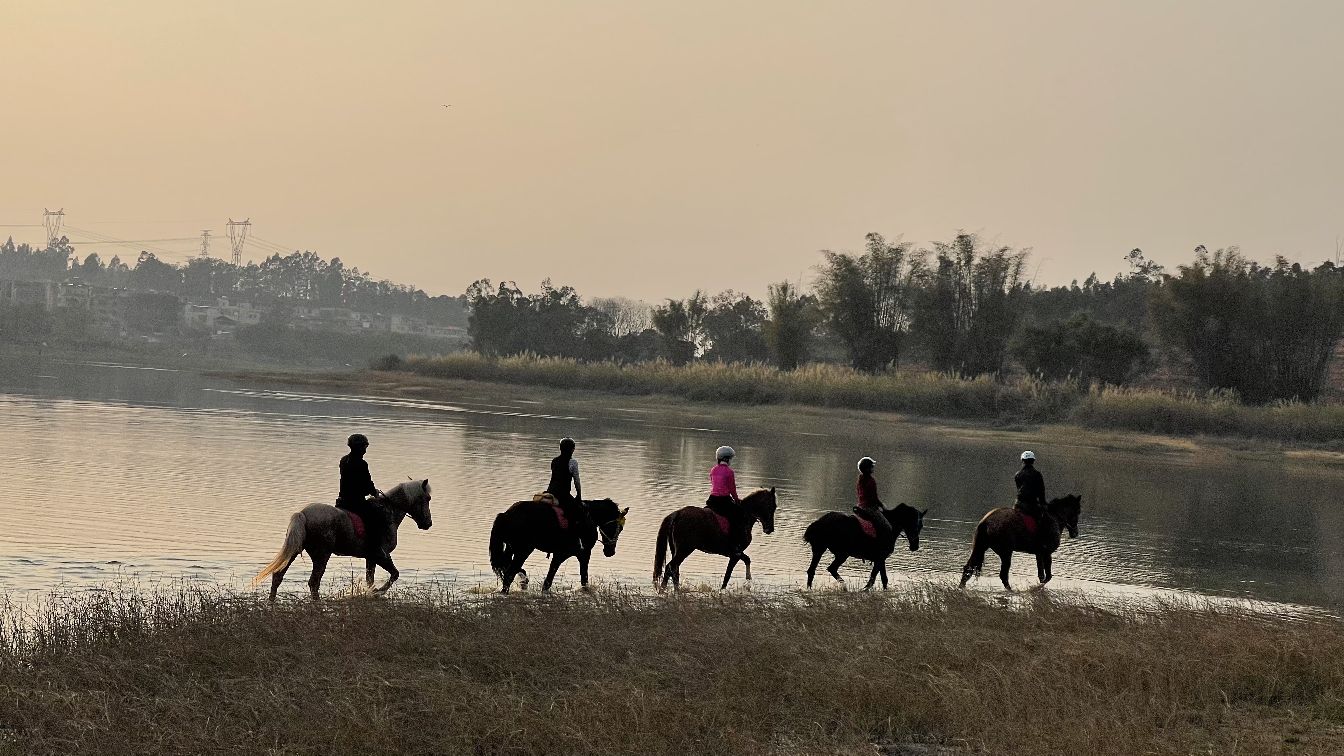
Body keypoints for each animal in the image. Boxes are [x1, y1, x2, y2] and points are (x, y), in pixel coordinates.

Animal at [252, 476, 435, 599]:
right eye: (427, 498)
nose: (428, 523)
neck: (388, 512)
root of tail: (303, 514)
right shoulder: (381, 555)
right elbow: (394, 574)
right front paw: (377, 592)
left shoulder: (371, 557)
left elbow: (370, 579)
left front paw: (371, 591)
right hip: (322, 555)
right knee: (313, 582)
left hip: (296, 550)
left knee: (278, 576)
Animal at [650, 484, 779, 591]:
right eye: (772, 506)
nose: (770, 529)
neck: (744, 516)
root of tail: (677, 514)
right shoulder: (735, 554)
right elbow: (728, 574)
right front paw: (723, 590)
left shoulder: (735, 553)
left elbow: (747, 559)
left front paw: (748, 578)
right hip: (685, 549)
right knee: (670, 567)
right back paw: (665, 590)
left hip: (676, 549)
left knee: (674, 569)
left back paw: (672, 590)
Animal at [801, 500, 930, 589]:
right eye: (912, 523)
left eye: (921, 525)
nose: (915, 546)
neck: (890, 526)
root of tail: (818, 522)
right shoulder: (880, 558)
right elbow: (874, 579)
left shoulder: (880, 559)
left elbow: (883, 579)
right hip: (839, 553)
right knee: (829, 569)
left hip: (822, 550)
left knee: (813, 571)